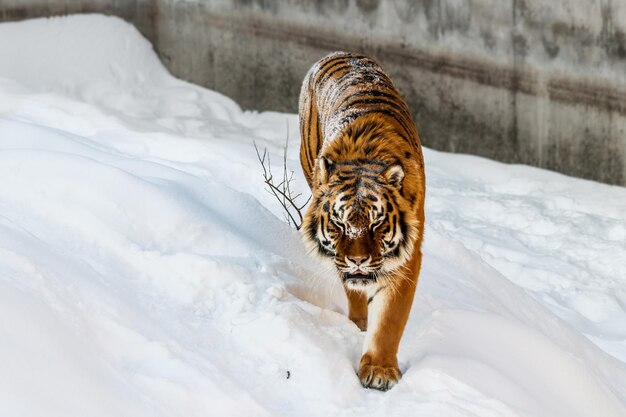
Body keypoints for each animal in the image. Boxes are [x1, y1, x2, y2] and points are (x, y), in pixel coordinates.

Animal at [298, 51, 424, 390]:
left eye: (377, 225)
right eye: (339, 224)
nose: (357, 261)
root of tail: (341, 53)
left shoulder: (407, 257)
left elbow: (390, 319)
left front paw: (380, 370)